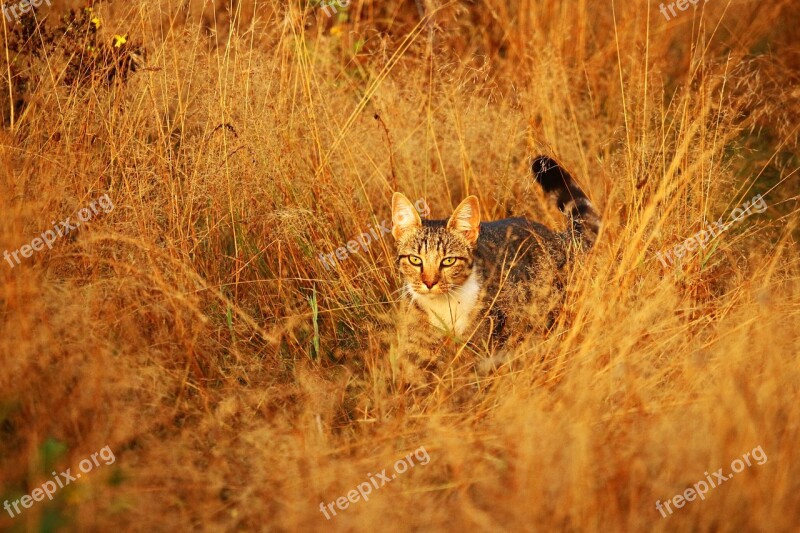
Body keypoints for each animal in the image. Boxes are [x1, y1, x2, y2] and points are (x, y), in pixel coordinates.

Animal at [388, 155, 600, 386]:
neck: (444, 306)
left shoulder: (479, 344)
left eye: (448, 261)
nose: (429, 282)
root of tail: (553, 235)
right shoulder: (416, 347)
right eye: (415, 260)